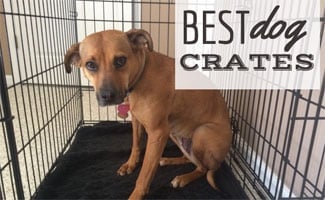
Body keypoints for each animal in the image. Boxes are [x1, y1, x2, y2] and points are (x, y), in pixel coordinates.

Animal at [64, 28, 230, 199]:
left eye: (120, 60)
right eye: (90, 65)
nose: (107, 96)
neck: (141, 76)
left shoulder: (158, 133)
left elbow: (145, 174)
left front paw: (136, 195)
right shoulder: (137, 121)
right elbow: (136, 145)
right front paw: (130, 164)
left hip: (201, 132)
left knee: (203, 169)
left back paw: (182, 178)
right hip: (175, 133)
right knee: (190, 160)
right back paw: (168, 161)